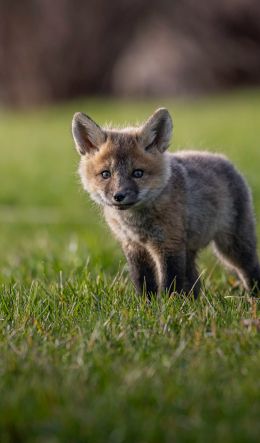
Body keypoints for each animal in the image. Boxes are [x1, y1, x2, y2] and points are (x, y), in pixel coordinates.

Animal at [71, 108, 260, 298]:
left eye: (137, 173)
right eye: (105, 174)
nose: (119, 196)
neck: (137, 223)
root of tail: (225, 160)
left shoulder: (169, 243)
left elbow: (170, 280)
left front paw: (170, 303)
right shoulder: (133, 246)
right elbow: (142, 280)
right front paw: (146, 302)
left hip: (233, 246)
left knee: (250, 269)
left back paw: (253, 296)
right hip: (191, 249)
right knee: (194, 281)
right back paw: (193, 300)